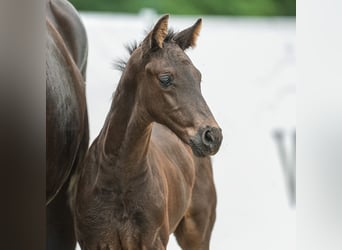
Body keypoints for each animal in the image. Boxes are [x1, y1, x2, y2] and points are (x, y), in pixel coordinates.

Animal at [72, 14, 223, 249]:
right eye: (165, 78)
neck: (119, 175)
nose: (212, 136)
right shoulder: (94, 242)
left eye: (198, 77)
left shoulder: (152, 241)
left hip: (197, 231)